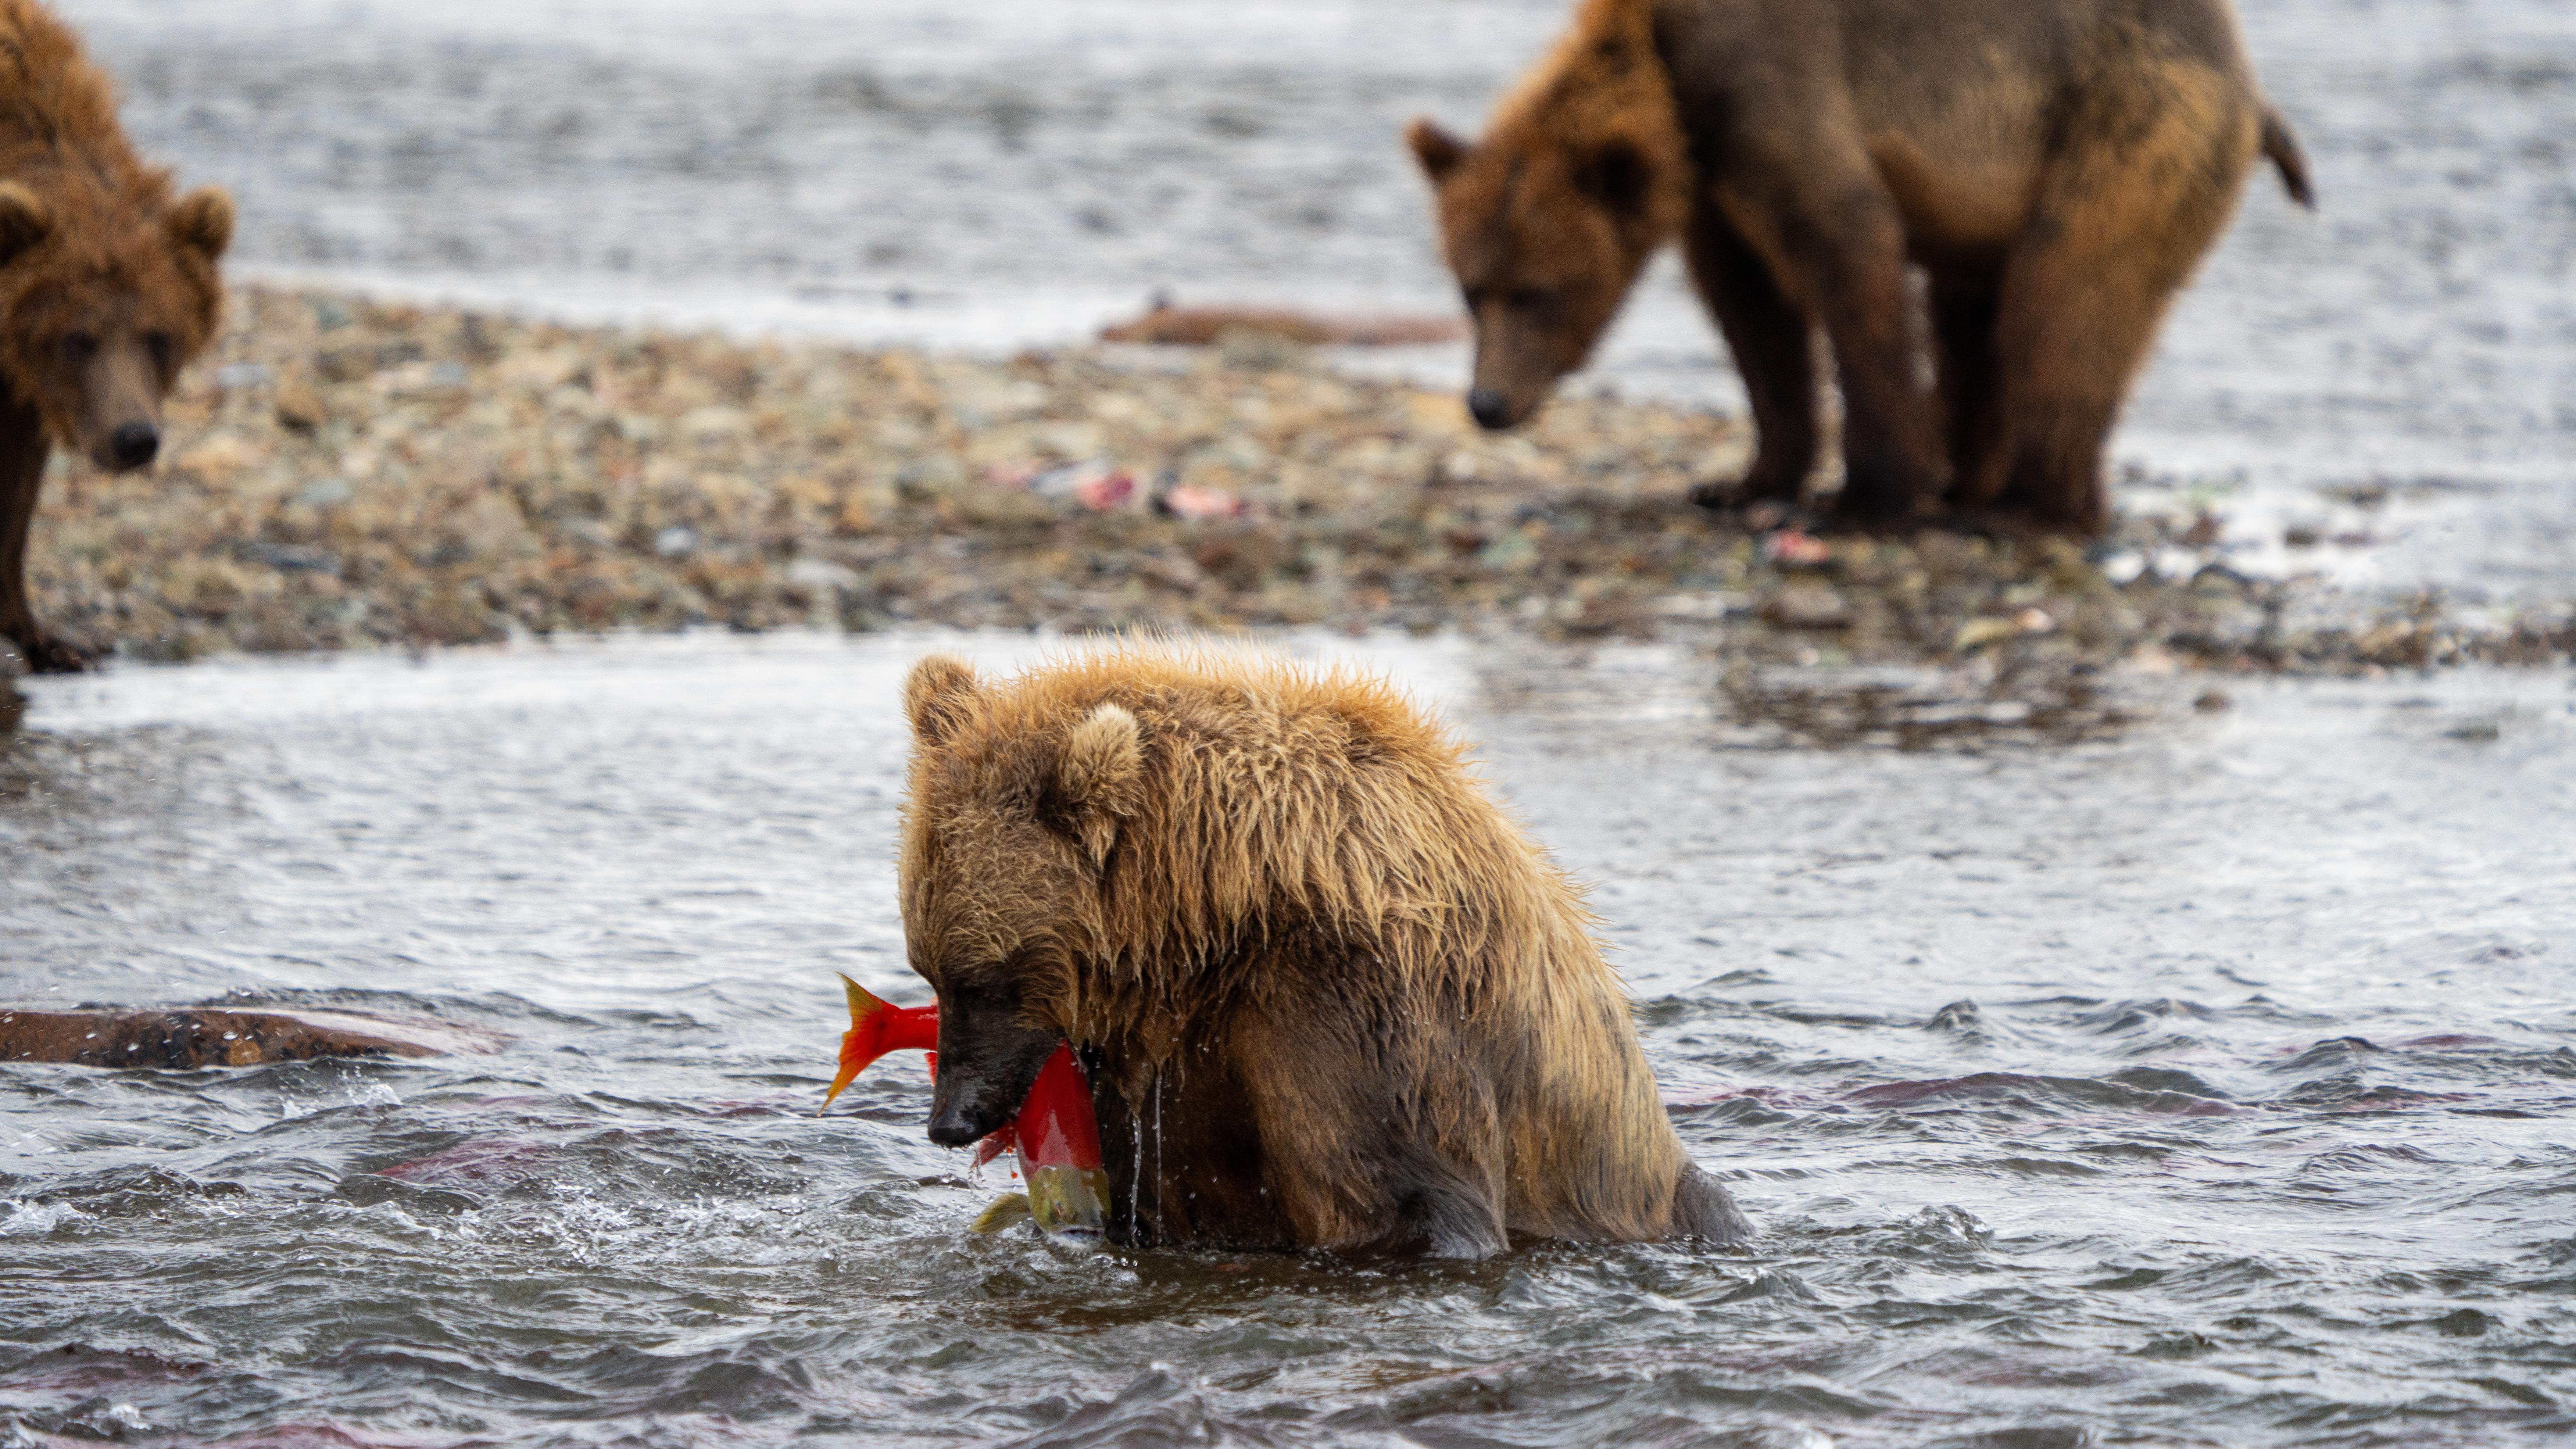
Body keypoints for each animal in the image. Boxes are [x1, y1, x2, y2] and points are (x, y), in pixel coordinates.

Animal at [0, 0, 231, 673]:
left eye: (160, 336)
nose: (134, 439)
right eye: (77, 338)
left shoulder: (24, 381)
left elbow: (17, 489)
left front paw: (49, 639)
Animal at [895, 642, 1750, 1256]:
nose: (949, 1120)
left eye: (984, 980)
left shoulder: (1349, 1009)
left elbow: (1400, 1199)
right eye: (929, 969)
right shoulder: (1169, 1050)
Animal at [1406, 0, 2312, 536]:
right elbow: (1753, 317)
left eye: (1538, 293)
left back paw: (2030, 506)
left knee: (2062, 301)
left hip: (2125, 121)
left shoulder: (1766, 89)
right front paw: (1741, 481)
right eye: (1469, 291)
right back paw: (1971, 489)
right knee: (1976, 316)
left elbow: (1847, 251)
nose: (1488, 403)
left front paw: (1862, 494)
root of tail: (2252, 89)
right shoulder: (1717, 188)